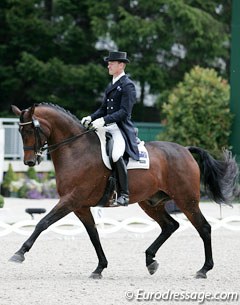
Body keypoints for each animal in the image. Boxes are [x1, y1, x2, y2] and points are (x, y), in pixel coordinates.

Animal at [9, 102, 238, 278]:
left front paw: (19, 253)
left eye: (30, 130)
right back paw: (150, 260)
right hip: (151, 202)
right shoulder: (80, 206)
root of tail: (185, 150)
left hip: (186, 199)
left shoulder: (71, 199)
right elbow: (93, 235)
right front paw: (100, 268)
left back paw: (203, 269)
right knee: (170, 225)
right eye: (20, 131)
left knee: (203, 227)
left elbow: (43, 222)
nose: (29, 162)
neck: (75, 150)